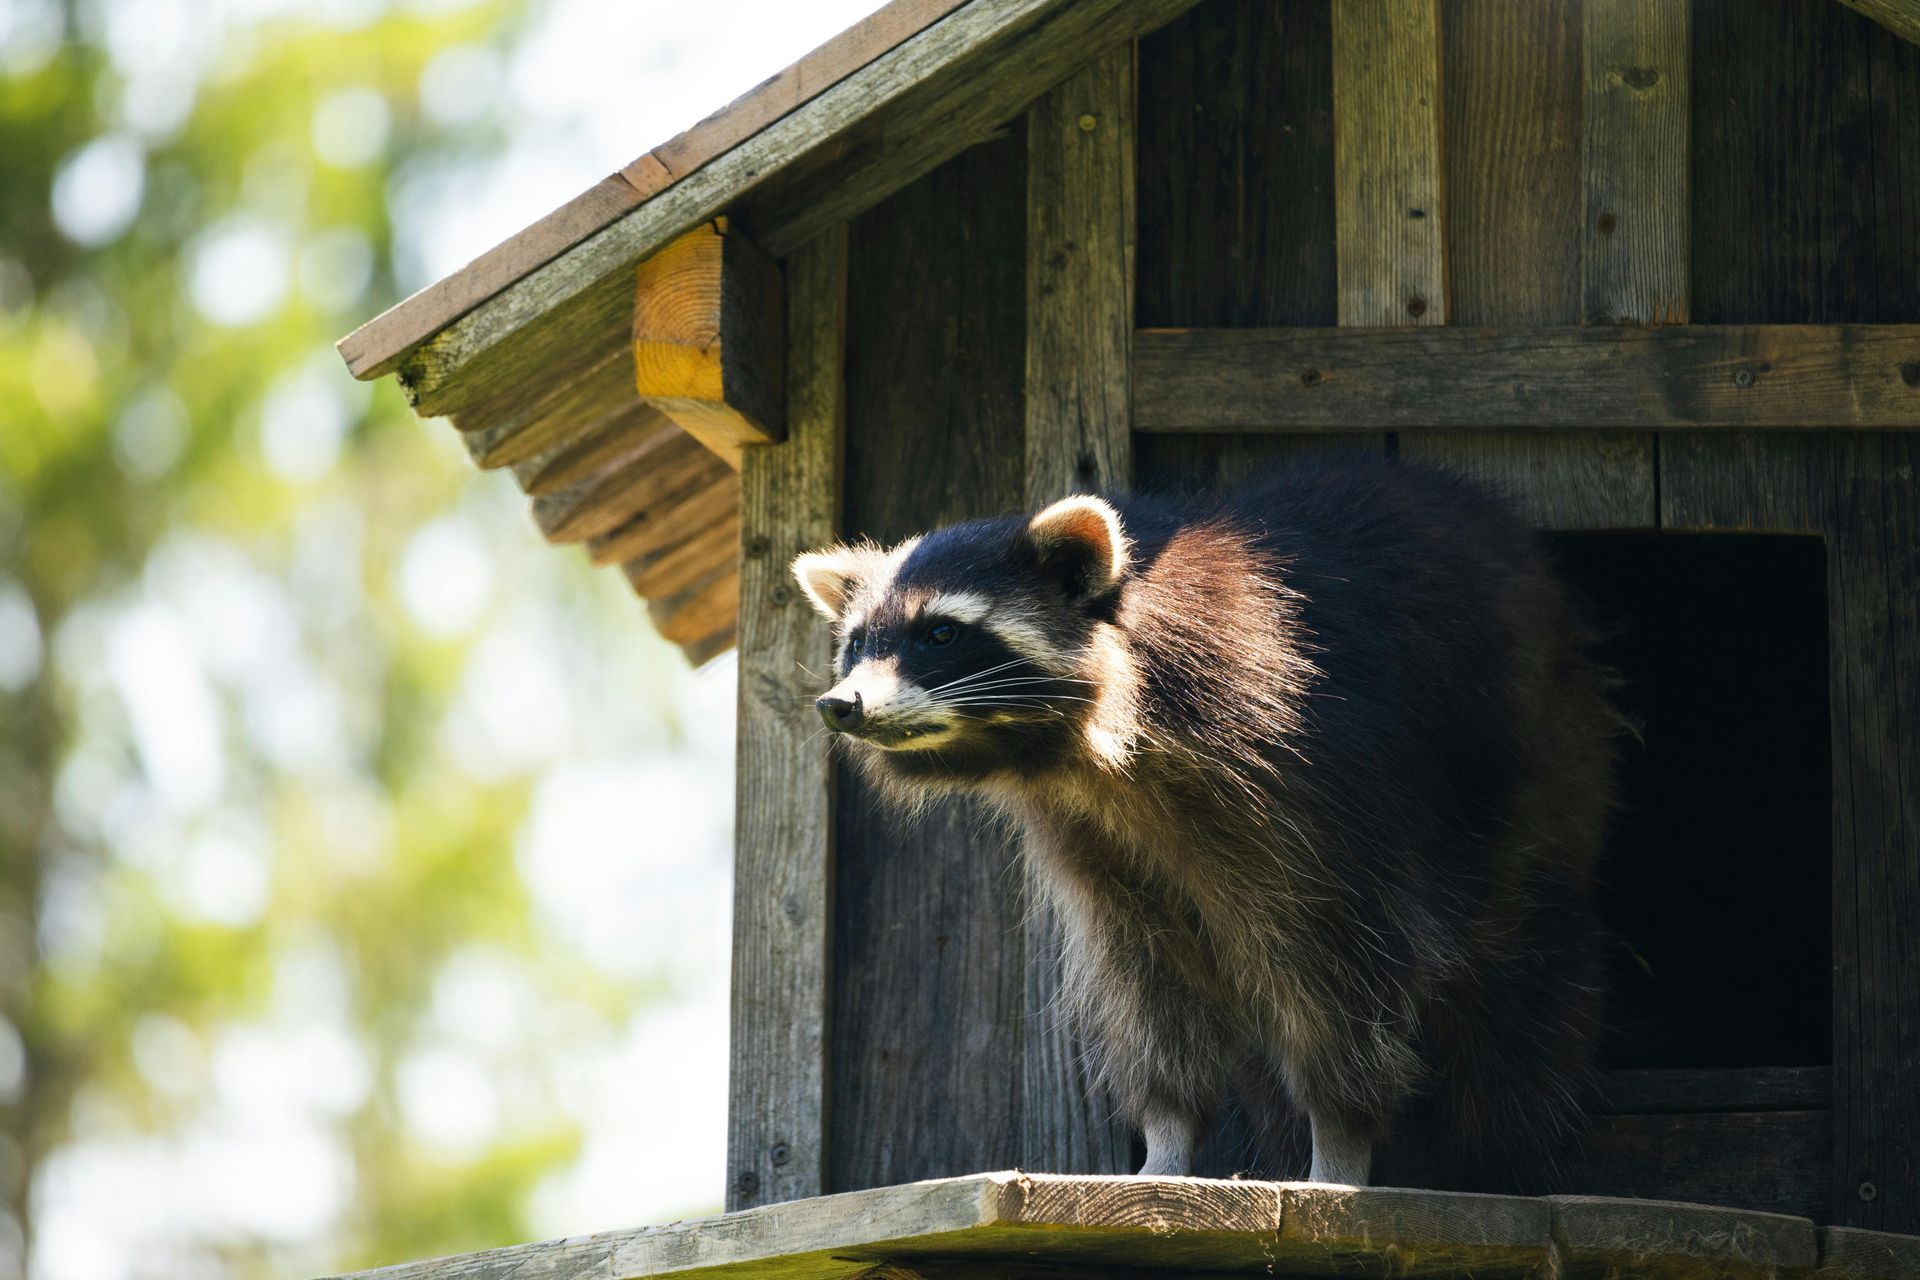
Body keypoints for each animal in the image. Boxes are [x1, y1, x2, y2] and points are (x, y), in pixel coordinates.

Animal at [792, 455, 1616, 1188]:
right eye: (858, 642)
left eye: (941, 634)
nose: (841, 705)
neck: (1085, 754)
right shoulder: (1092, 838)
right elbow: (1150, 985)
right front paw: (1167, 1137)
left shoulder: (1306, 777)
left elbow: (1344, 972)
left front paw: (1340, 1142)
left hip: (1538, 759)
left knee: (1517, 979)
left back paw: (1504, 1150)